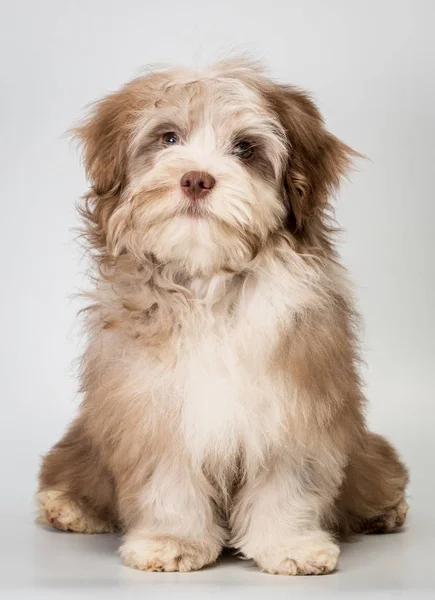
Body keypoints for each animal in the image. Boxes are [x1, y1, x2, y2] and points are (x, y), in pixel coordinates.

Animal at [36, 58, 408, 576]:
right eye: (169, 137)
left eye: (245, 148)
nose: (196, 179)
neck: (209, 287)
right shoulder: (151, 407)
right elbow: (168, 480)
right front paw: (171, 541)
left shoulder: (296, 403)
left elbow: (288, 480)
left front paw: (289, 544)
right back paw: (68, 507)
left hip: (366, 450)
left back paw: (387, 510)